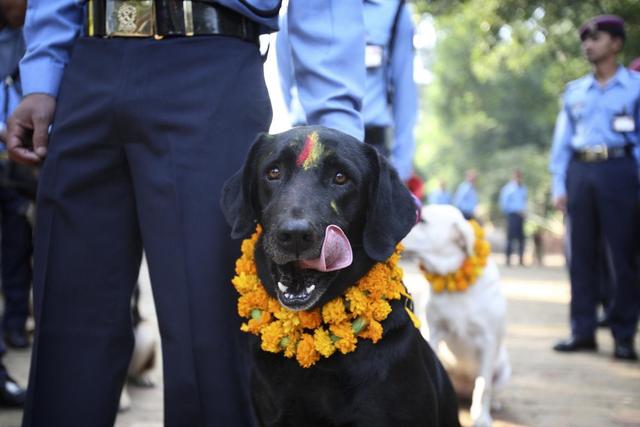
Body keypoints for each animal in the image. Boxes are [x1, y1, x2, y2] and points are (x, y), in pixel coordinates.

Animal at [404, 206, 510, 426]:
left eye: (423, 220)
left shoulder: (488, 341)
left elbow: (484, 386)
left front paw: (482, 417)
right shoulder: (434, 332)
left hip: (504, 369)